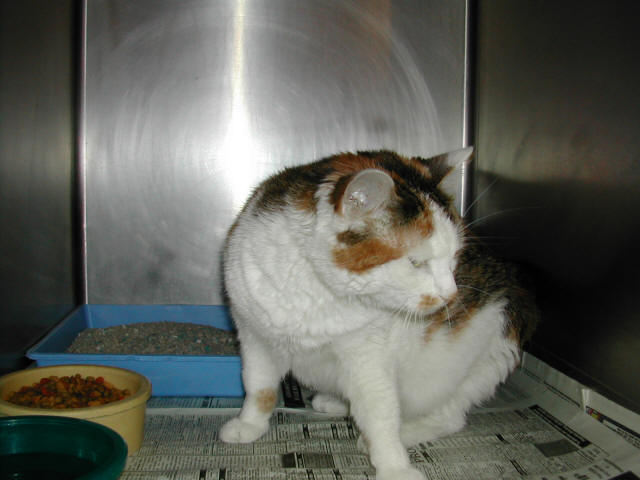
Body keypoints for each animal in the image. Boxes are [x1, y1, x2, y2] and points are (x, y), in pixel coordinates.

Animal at [219, 148, 538, 480]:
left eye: (454, 259)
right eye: (416, 263)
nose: (451, 295)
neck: (317, 286)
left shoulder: (368, 357)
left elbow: (380, 412)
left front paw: (395, 466)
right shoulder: (253, 336)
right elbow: (259, 386)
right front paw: (249, 424)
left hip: (483, 355)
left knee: (449, 416)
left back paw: (403, 431)